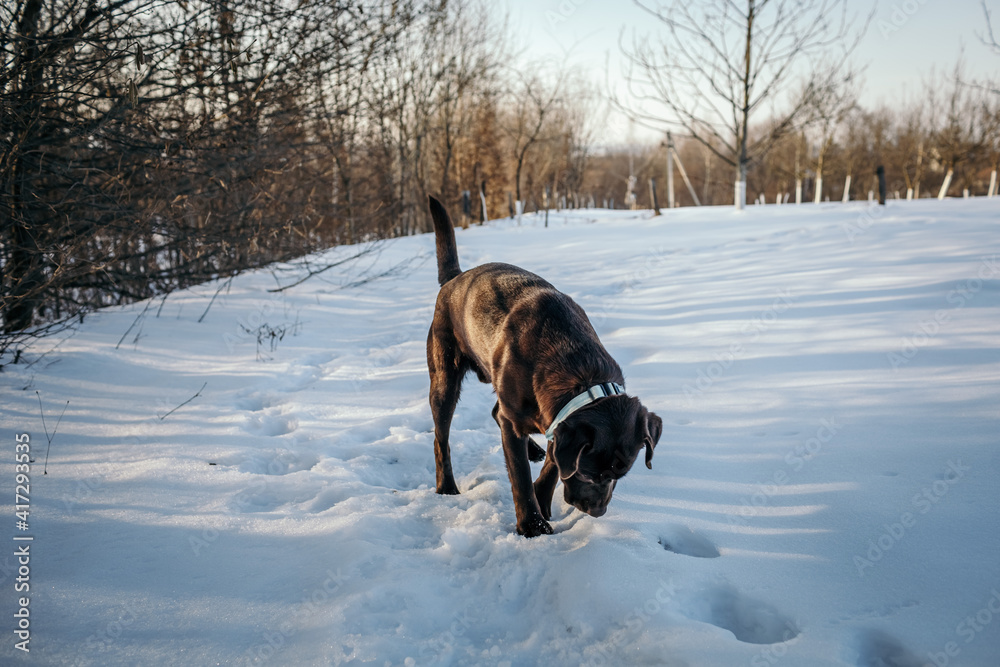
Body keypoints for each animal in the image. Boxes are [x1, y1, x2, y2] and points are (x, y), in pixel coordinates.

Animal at [425, 196, 662, 537]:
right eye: (589, 475)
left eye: (620, 475)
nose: (598, 512)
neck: (581, 370)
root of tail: (455, 278)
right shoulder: (529, 421)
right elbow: (520, 477)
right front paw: (533, 526)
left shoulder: (557, 420)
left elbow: (554, 462)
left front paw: (543, 498)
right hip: (444, 381)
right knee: (441, 438)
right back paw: (446, 486)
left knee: (496, 412)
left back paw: (533, 450)